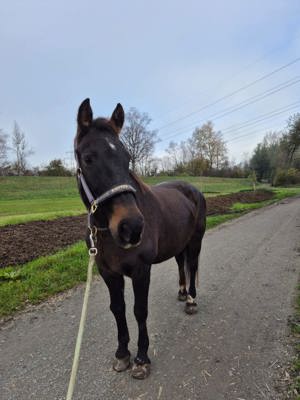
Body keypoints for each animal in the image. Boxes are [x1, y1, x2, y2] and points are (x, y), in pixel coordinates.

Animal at [74, 99, 206, 378]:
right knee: (182, 265)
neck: (107, 235)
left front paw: (142, 358)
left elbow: (140, 310)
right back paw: (181, 293)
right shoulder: (108, 273)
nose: (132, 227)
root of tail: (192, 190)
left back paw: (190, 300)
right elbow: (118, 310)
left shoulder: (141, 270)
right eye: (88, 158)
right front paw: (122, 354)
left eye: (127, 158)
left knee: (192, 266)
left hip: (195, 241)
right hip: (178, 244)